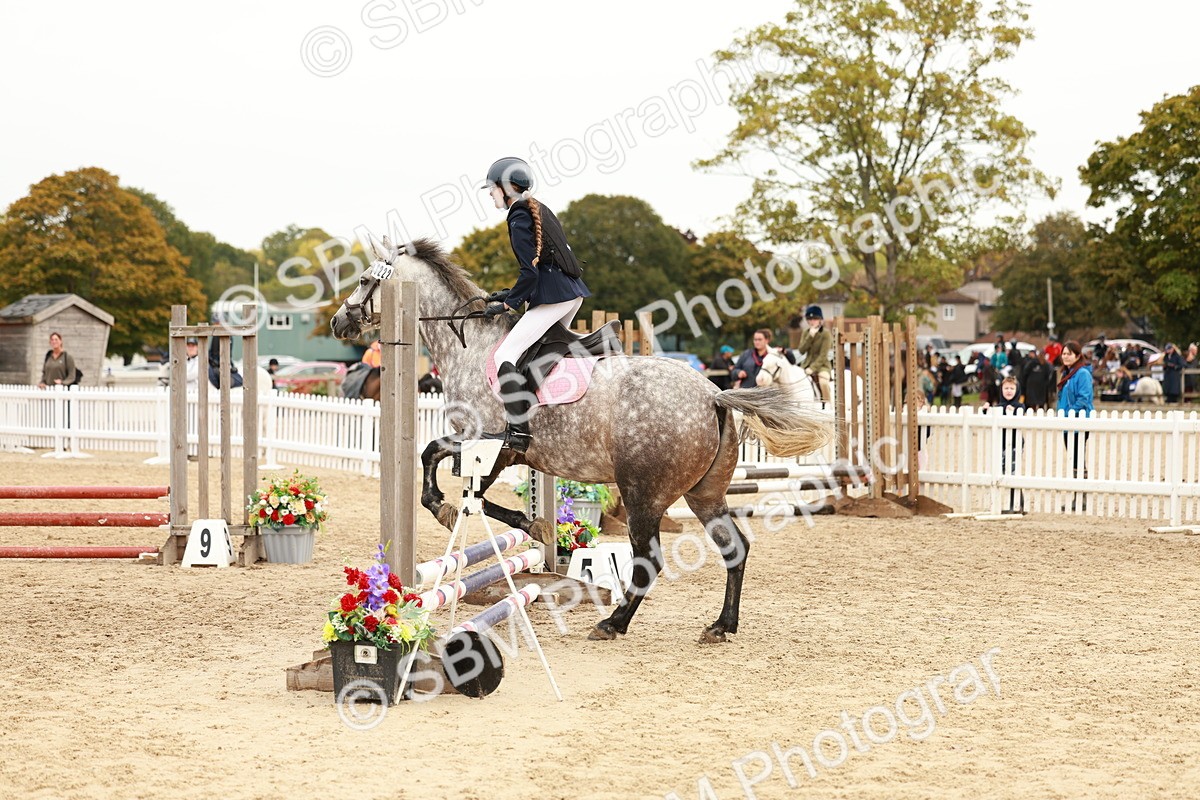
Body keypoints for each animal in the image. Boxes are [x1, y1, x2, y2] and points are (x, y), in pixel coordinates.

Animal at [330, 238, 832, 643]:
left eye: (363, 280)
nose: (339, 323)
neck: (469, 346)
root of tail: (713, 393)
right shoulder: (501, 455)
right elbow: (479, 496)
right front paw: (533, 524)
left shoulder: (486, 442)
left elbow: (432, 456)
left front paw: (443, 507)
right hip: (703, 493)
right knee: (735, 548)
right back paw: (721, 625)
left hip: (643, 494)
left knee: (649, 559)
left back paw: (613, 623)